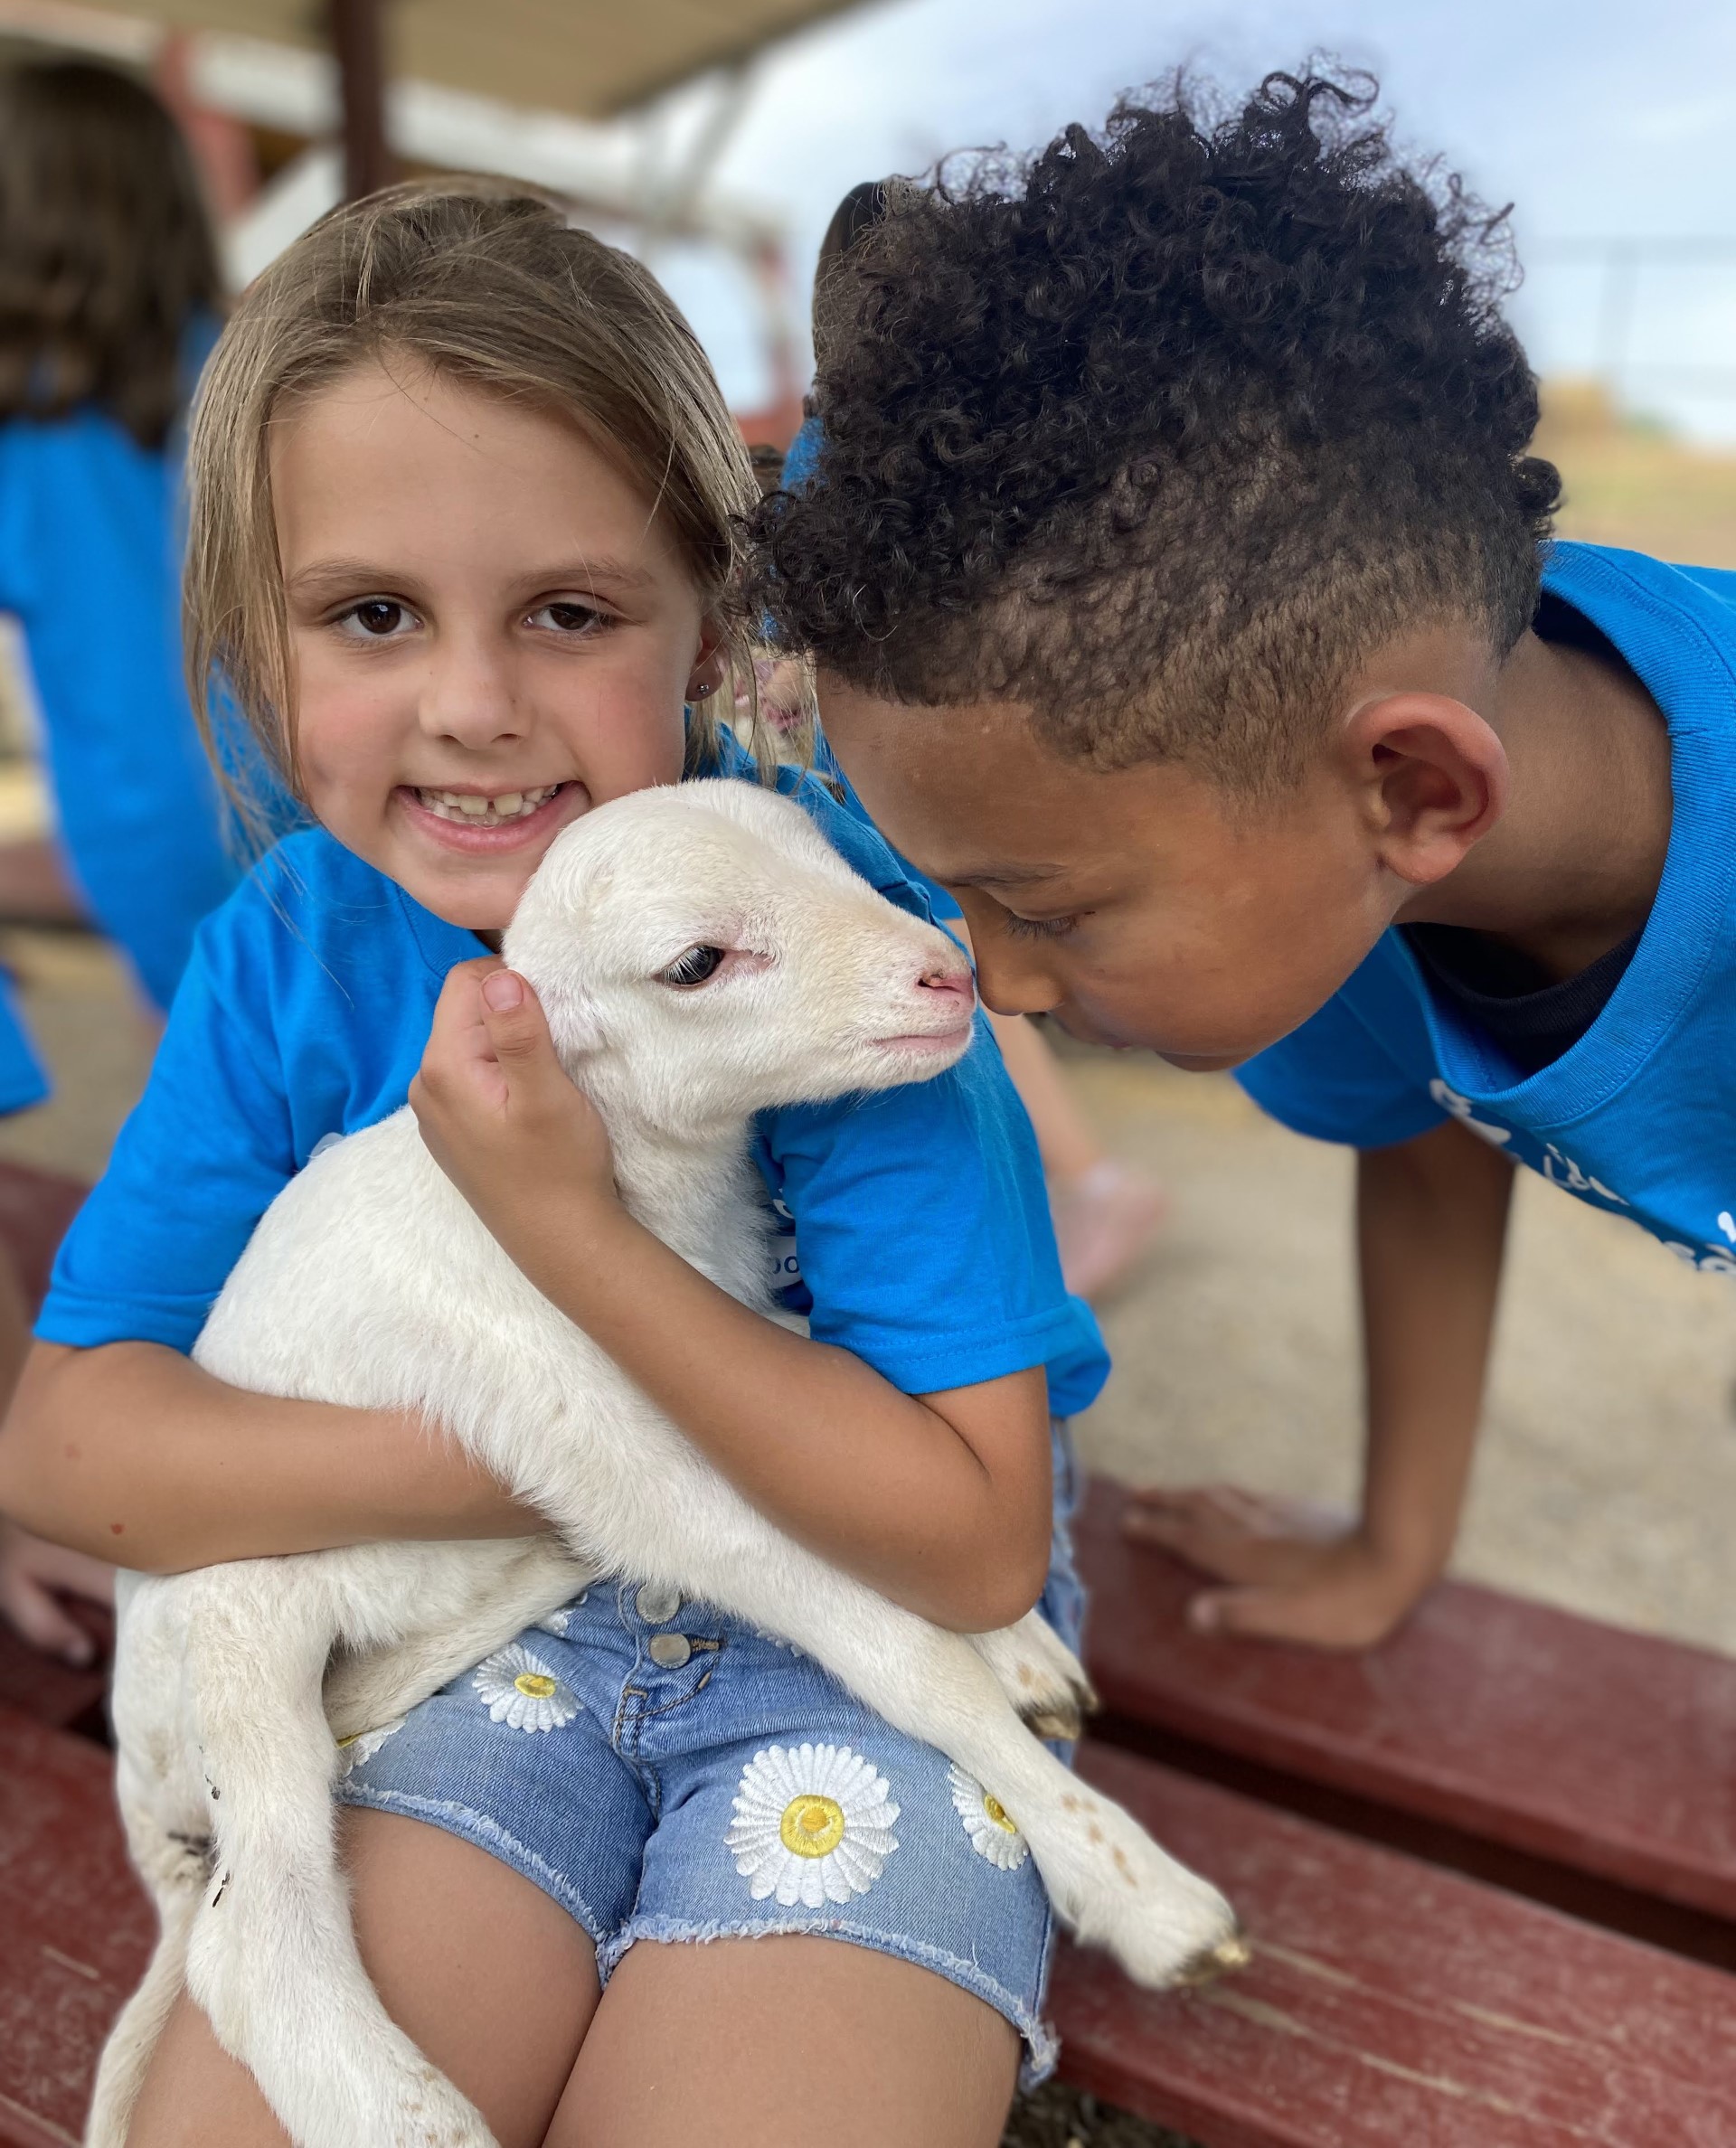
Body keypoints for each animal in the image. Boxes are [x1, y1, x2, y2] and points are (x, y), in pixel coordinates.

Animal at [95, 781, 1237, 2148]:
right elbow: (903, 1657)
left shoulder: (734, 1356)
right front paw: (1149, 1898)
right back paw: (421, 2120)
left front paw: (1019, 1646)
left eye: (829, 854)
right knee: (254, 1931)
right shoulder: (625, 1448)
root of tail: (144, 1786)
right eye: (695, 965)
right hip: (232, 1639)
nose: (946, 974)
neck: (642, 1204)